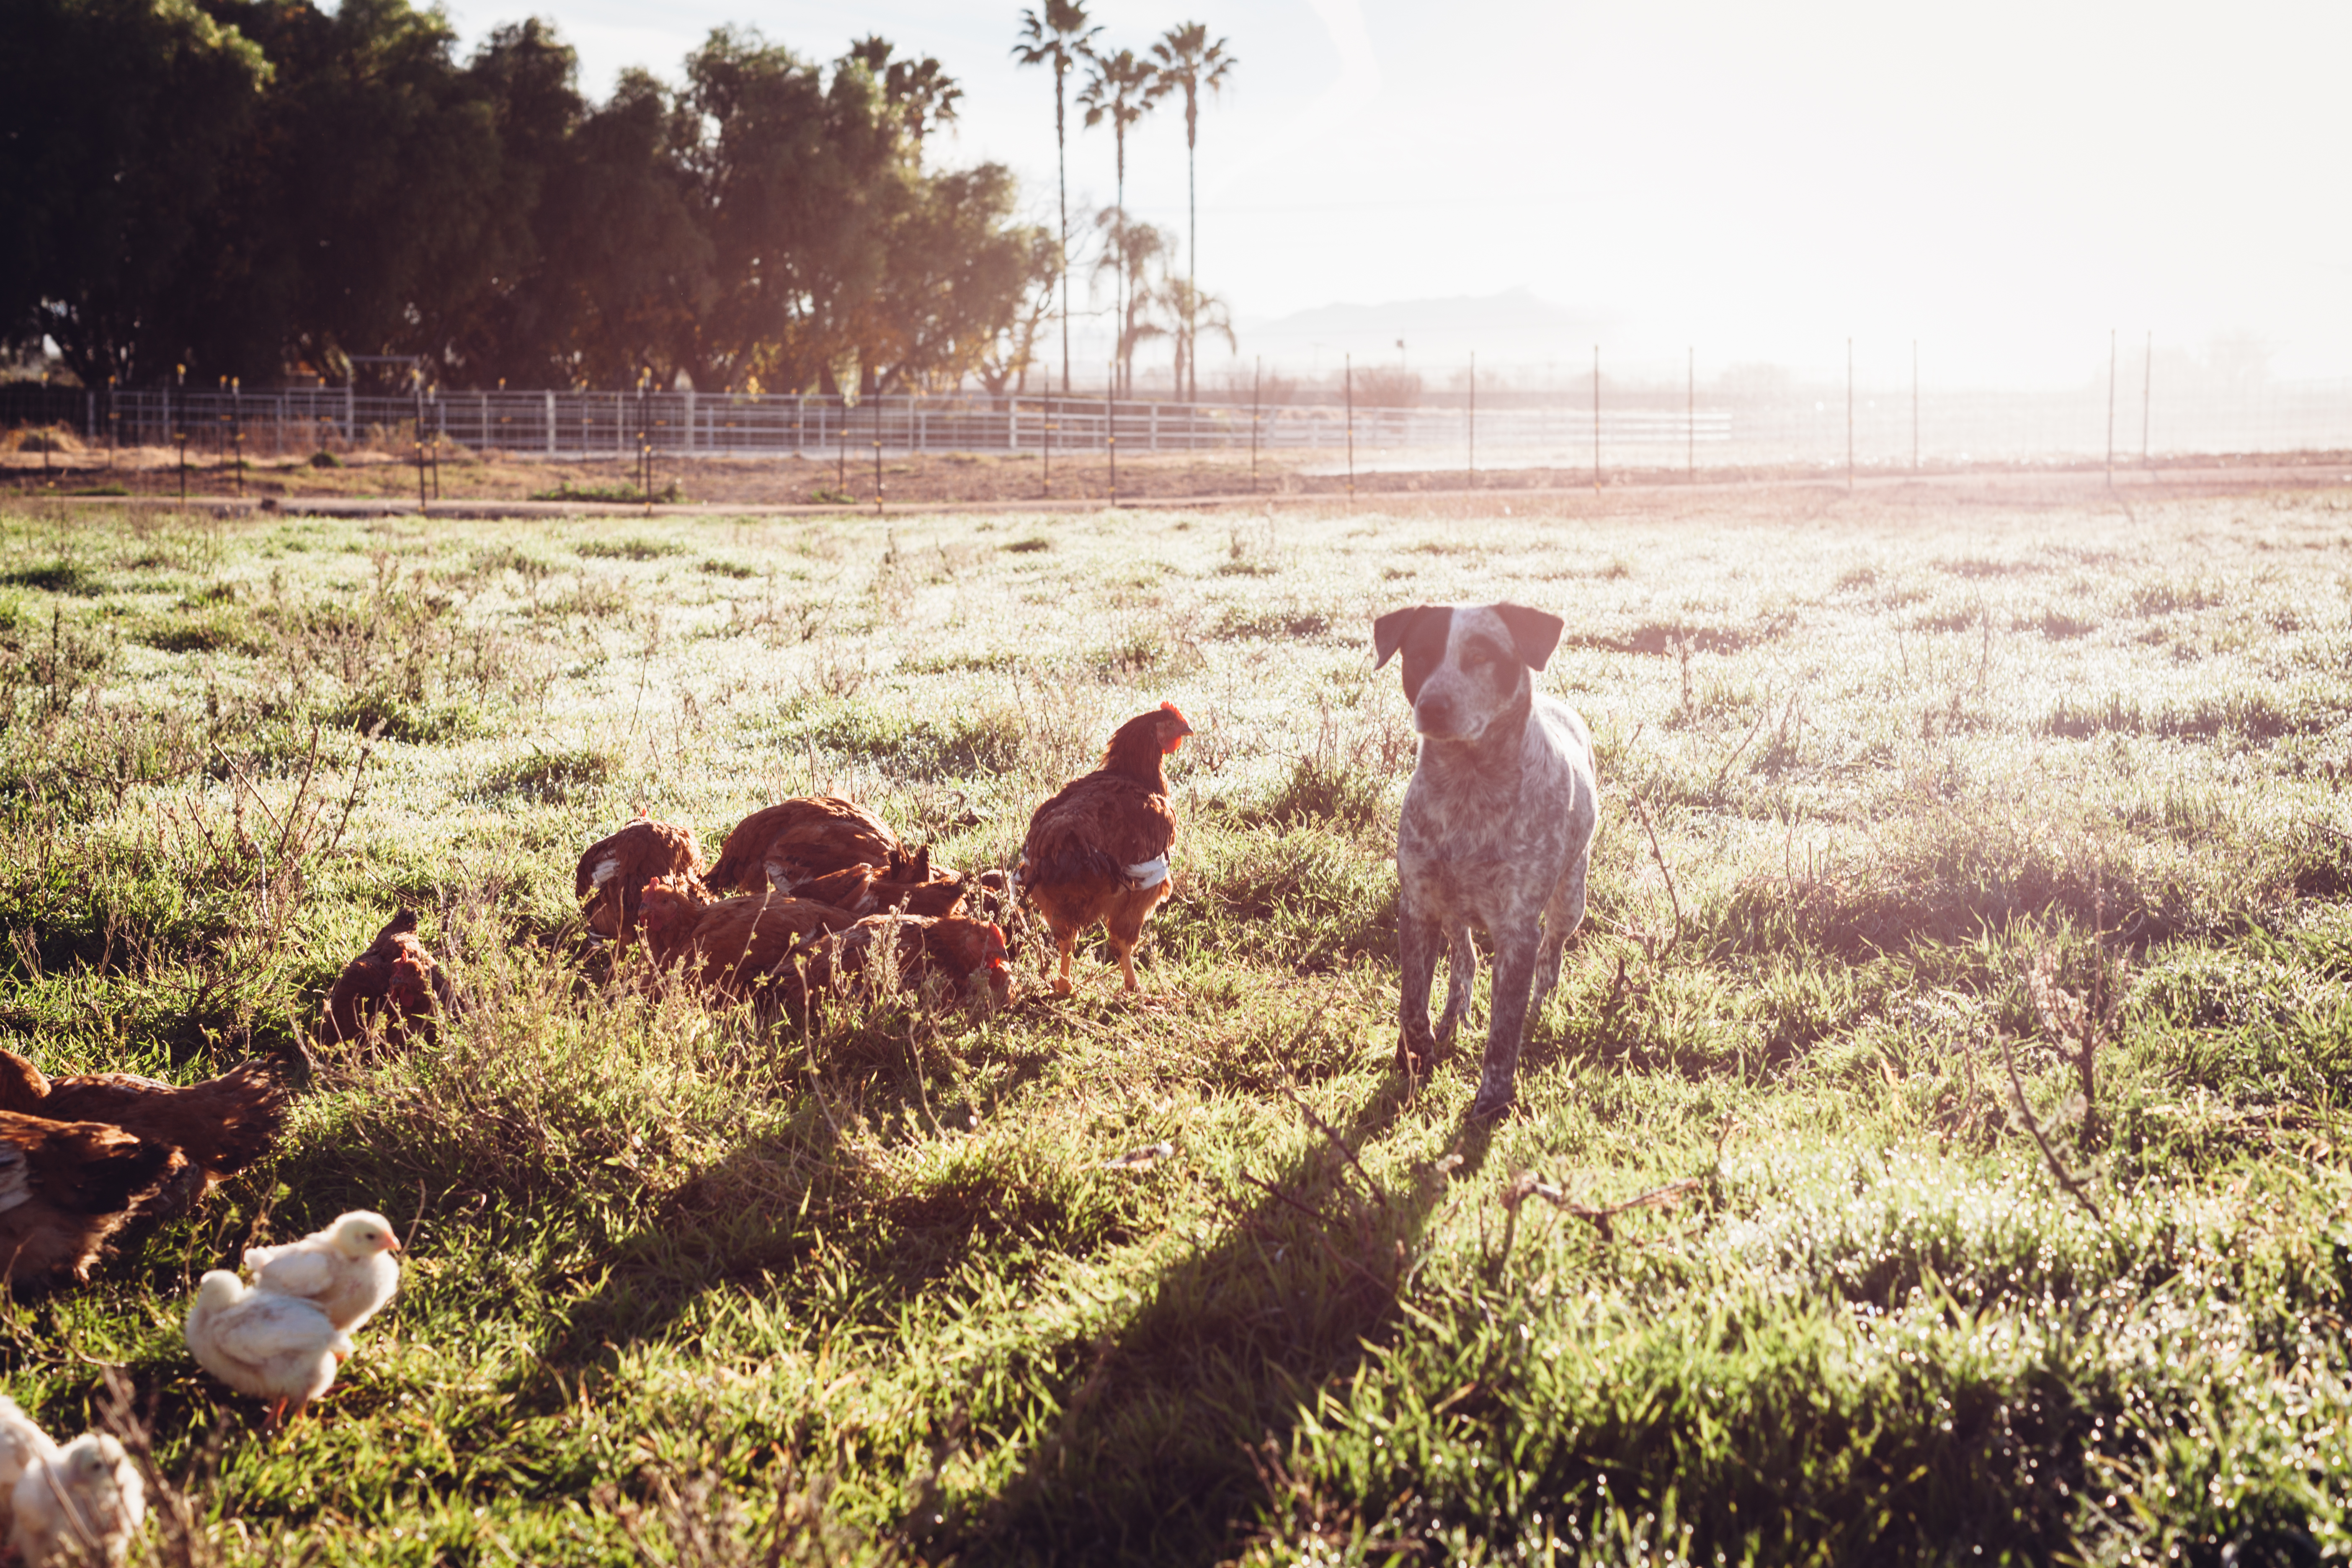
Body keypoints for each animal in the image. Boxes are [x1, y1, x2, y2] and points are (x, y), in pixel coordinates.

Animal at [1373, 597, 1599, 1114]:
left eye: (1481, 656)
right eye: (1420, 655)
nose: (1433, 706)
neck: (1468, 786)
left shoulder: (1518, 928)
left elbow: (1505, 1028)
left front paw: (1493, 1099)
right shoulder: (1418, 905)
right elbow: (1411, 1002)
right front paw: (1416, 1050)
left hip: (1569, 901)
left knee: (1550, 962)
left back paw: (1539, 1009)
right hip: (1454, 912)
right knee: (1466, 961)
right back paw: (1451, 1018)